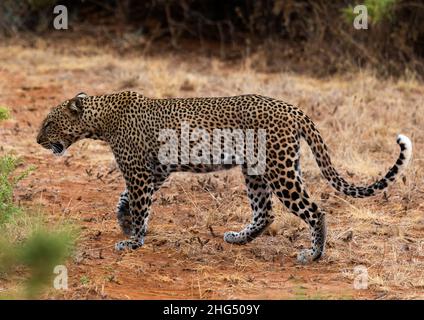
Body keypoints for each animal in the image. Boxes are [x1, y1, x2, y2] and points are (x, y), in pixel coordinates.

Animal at [35, 91, 410, 264]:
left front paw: (132, 241)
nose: (37, 140)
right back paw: (238, 238)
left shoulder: (140, 174)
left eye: (49, 123)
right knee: (265, 212)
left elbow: (140, 206)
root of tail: (292, 108)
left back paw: (313, 255)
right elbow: (126, 199)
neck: (100, 121)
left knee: (314, 210)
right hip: (257, 169)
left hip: (280, 170)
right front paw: (124, 223)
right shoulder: (155, 172)